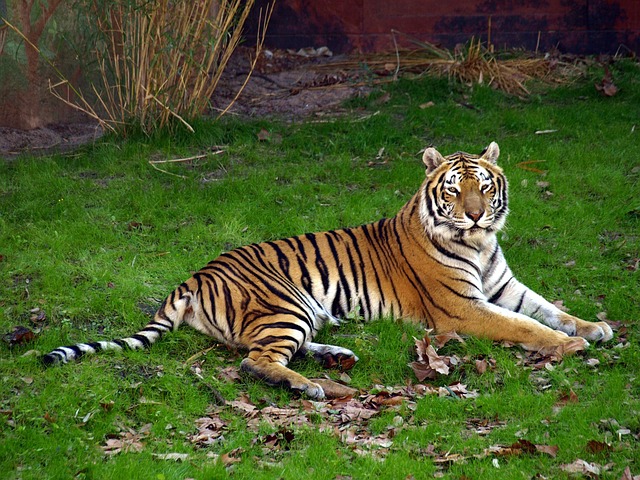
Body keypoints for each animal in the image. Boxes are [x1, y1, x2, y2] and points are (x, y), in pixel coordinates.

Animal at [43, 142, 613, 399]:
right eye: (454, 190)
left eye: (485, 187)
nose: (474, 214)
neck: (479, 243)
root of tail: (194, 275)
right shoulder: (463, 310)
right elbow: (526, 326)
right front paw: (569, 346)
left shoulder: (504, 286)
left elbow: (548, 308)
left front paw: (594, 327)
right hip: (285, 303)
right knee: (252, 361)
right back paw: (309, 387)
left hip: (301, 312)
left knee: (260, 349)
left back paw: (337, 356)